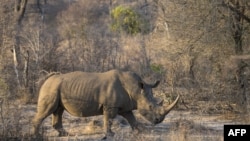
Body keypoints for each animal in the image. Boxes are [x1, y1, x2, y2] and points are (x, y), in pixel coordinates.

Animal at [32, 69, 179, 138]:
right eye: (150, 106)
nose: (159, 121)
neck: (136, 90)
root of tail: (47, 78)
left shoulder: (125, 106)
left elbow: (132, 119)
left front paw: (140, 131)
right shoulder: (110, 106)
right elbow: (109, 119)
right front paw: (110, 134)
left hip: (56, 88)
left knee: (58, 110)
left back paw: (65, 134)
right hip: (51, 88)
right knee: (48, 110)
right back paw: (37, 136)